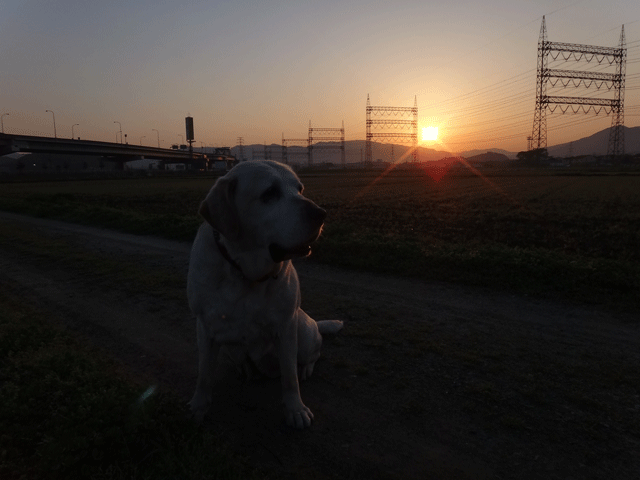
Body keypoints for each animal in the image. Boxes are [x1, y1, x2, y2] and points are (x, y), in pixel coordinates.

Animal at [188, 160, 342, 428]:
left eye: (300, 189)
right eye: (269, 193)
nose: (321, 213)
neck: (245, 273)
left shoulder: (286, 326)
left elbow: (289, 376)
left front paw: (295, 409)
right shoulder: (205, 327)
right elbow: (204, 373)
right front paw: (199, 406)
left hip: (303, 329)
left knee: (312, 355)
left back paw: (305, 368)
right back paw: (246, 371)